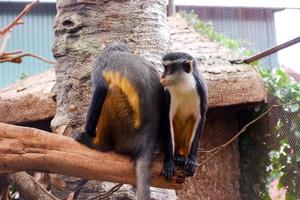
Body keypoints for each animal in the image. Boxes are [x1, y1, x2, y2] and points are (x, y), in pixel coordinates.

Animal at [75, 42, 164, 200]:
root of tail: (148, 141)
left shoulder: (100, 63)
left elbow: (101, 88)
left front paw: (89, 130)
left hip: (127, 135)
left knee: (112, 91)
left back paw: (99, 144)